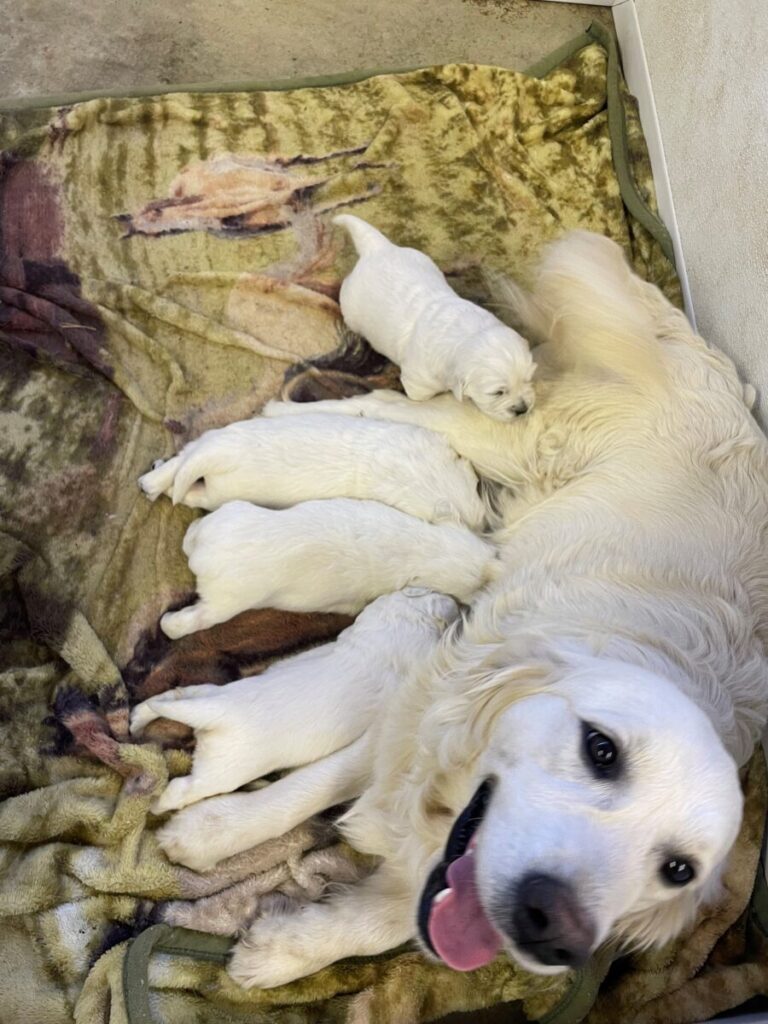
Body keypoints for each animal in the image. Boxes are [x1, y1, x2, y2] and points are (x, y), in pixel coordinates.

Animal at [132, 589, 456, 860]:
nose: (452, 599)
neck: (401, 626)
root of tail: (214, 715)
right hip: (219, 773)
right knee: (183, 790)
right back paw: (158, 804)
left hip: (203, 692)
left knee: (167, 698)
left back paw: (137, 718)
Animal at [162, 497, 499, 638]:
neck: (426, 549)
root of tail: (206, 553)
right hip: (228, 600)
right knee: (197, 618)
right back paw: (169, 624)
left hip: (232, 512)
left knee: (197, 528)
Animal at [333, 214, 536, 421]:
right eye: (497, 393)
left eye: (527, 379)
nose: (522, 409)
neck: (465, 335)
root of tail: (378, 247)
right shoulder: (416, 381)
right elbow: (420, 397)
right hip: (350, 302)